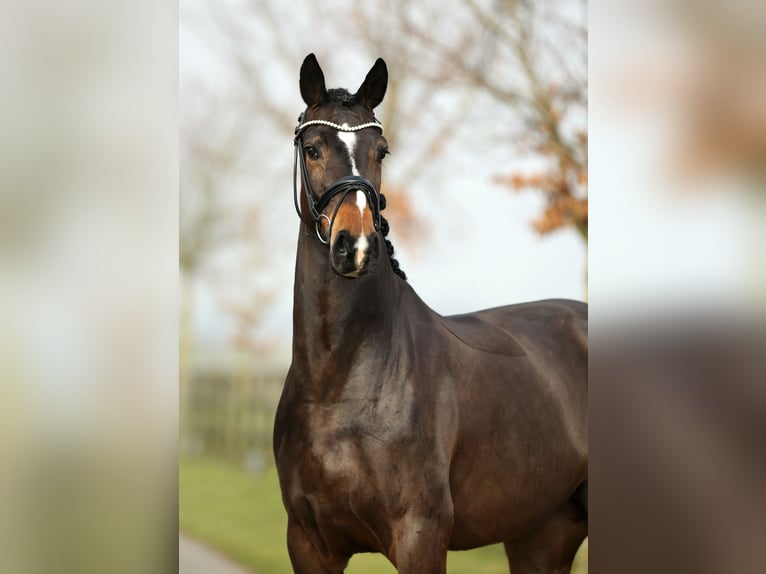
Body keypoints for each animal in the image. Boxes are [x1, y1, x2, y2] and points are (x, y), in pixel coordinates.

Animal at [272, 53, 592, 572]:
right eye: (313, 148)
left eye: (381, 151)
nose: (355, 246)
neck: (340, 384)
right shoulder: (307, 542)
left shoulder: (420, 537)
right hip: (542, 535)